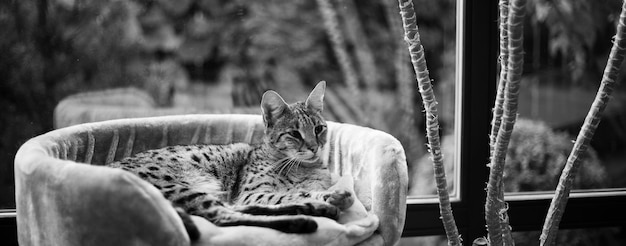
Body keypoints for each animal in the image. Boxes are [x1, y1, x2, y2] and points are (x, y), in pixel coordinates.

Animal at [106, 82, 352, 240]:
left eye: (318, 129)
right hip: (181, 188)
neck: (303, 166)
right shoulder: (252, 192)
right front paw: (330, 197)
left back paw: (312, 209)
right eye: (294, 134)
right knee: (225, 216)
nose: (314, 147)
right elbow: (290, 193)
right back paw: (304, 218)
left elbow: (293, 193)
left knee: (238, 209)